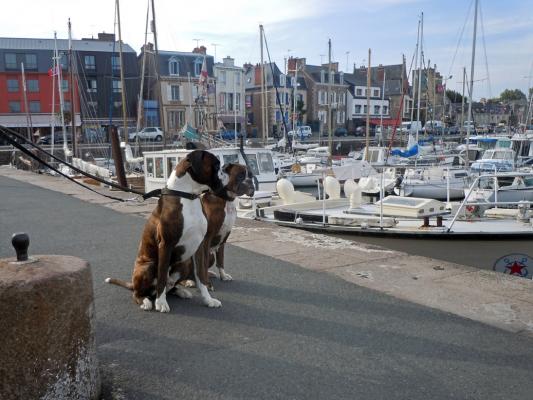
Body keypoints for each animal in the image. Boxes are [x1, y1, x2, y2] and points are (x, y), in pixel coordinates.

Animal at [105, 150, 227, 312]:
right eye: (216, 165)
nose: (226, 172)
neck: (188, 196)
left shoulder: (199, 247)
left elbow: (201, 276)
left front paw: (208, 300)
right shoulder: (166, 245)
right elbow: (162, 276)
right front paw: (161, 303)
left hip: (185, 262)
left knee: (170, 286)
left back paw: (180, 291)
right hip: (148, 266)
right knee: (139, 293)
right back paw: (146, 301)